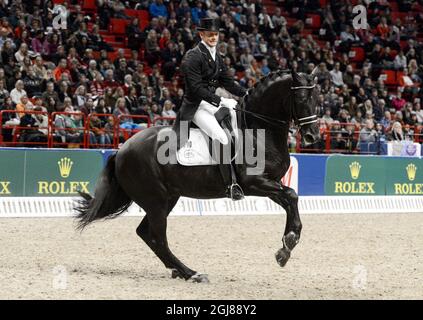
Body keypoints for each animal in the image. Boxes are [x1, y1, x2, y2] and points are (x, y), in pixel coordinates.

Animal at [76, 70, 322, 282]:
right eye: (301, 97)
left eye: (317, 97)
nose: (312, 136)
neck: (257, 131)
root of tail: (122, 149)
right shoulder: (254, 183)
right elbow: (292, 195)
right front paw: (288, 244)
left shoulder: (270, 183)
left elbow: (290, 199)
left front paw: (285, 248)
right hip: (156, 201)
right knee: (158, 238)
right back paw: (191, 273)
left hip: (167, 199)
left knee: (146, 234)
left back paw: (180, 271)